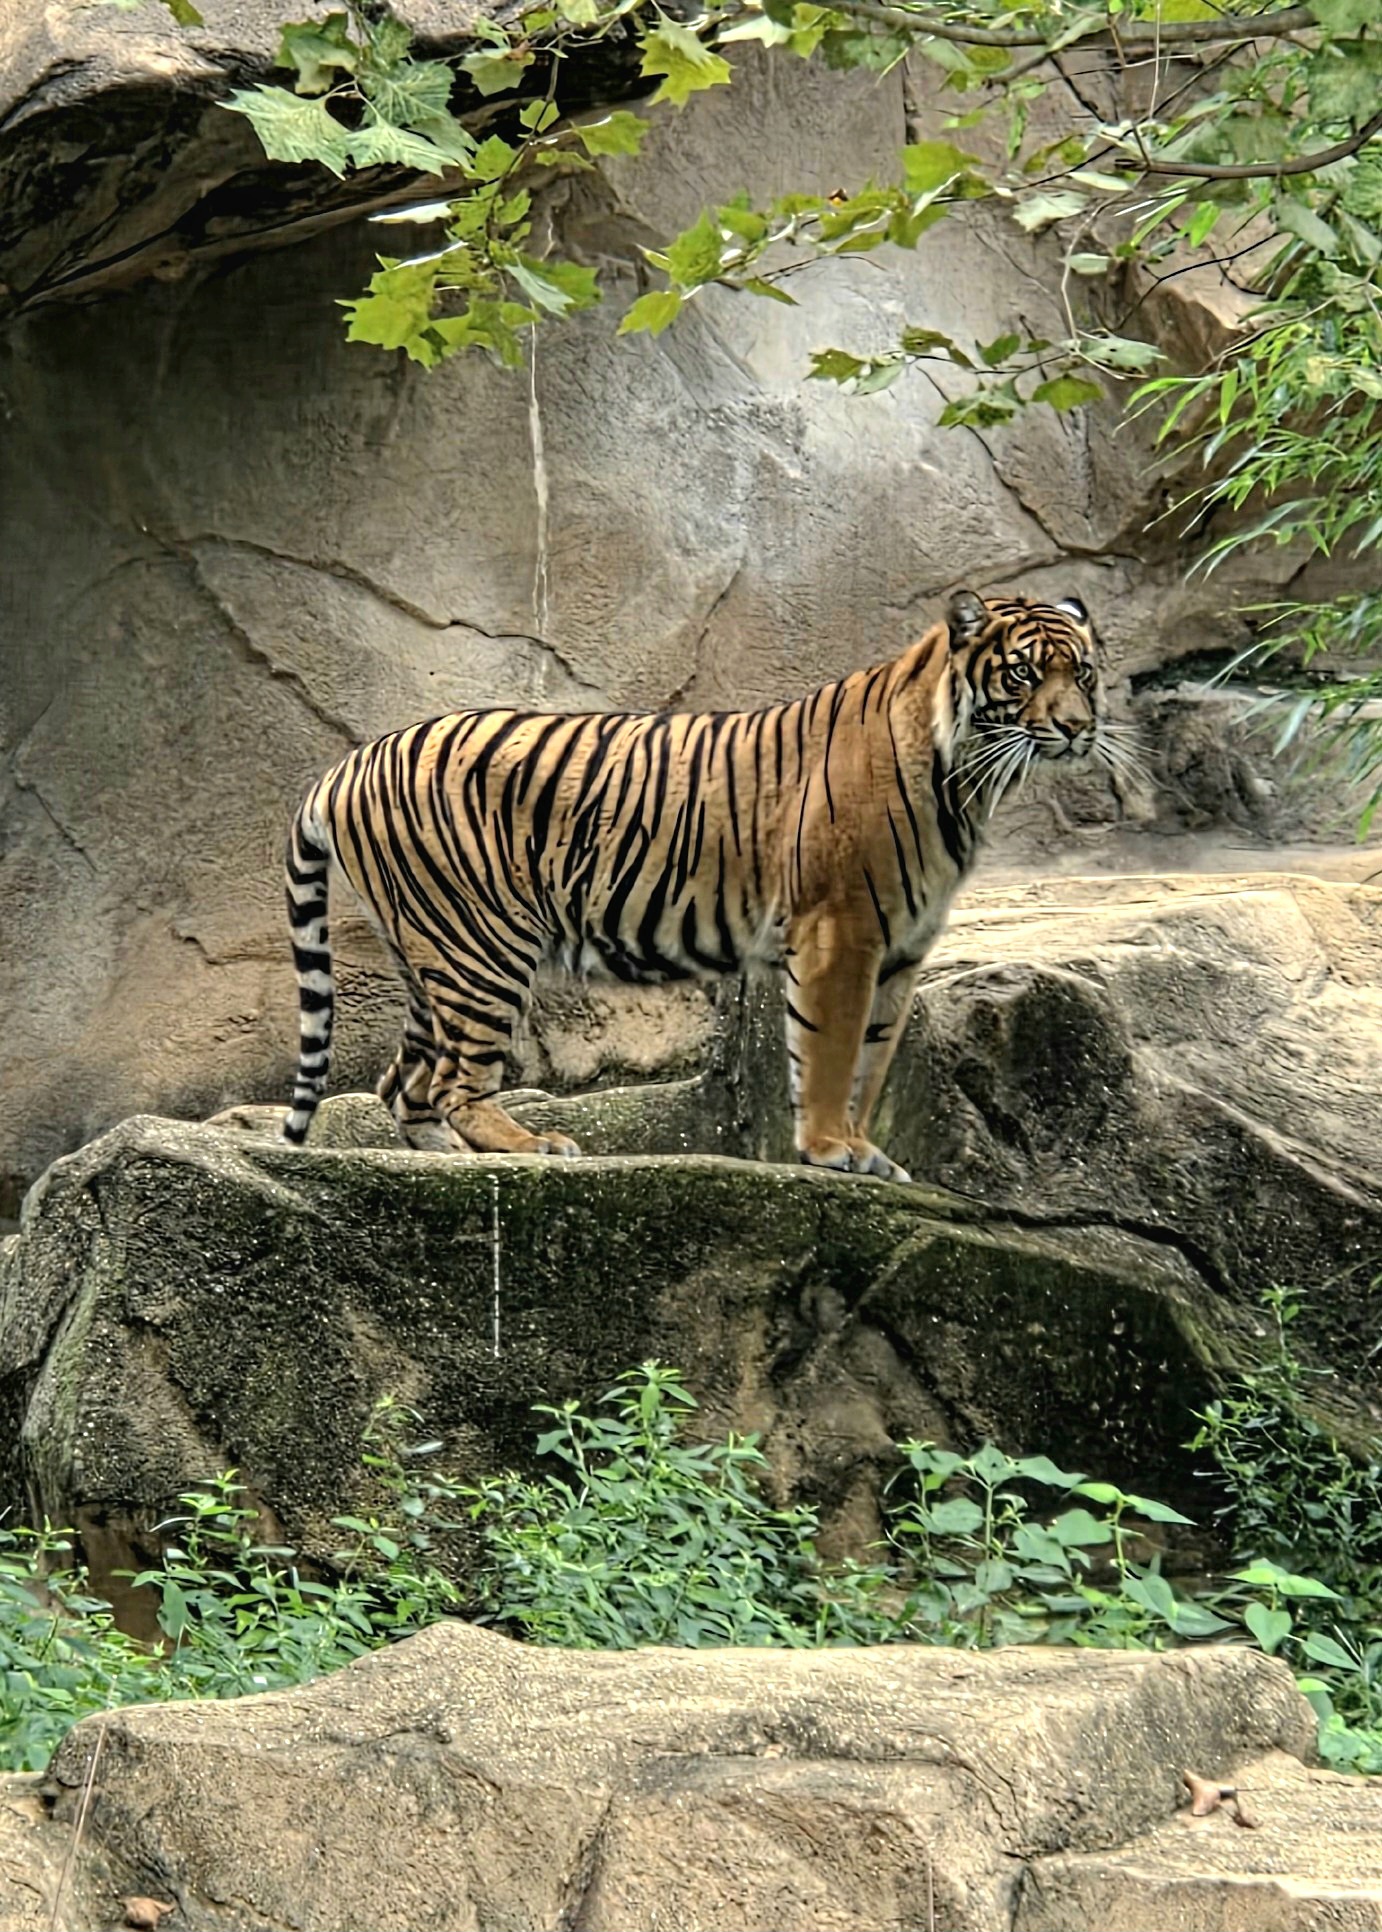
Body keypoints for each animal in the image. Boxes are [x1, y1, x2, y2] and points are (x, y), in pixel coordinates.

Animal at [282, 588, 1110, 1183]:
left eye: (1083, 672)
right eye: (1023, 673)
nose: (1077, 728)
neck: (966, 778)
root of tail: (346, 763)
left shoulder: (902, 948)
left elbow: (872, 1062)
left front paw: (864, 1149)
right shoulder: (840, 930)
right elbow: (830, 1052)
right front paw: (828, 1148)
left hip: (432, 952)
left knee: (405, 1084)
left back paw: (451, 1157)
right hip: (481, 948)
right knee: (456, 1082)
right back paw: (530, 1146)